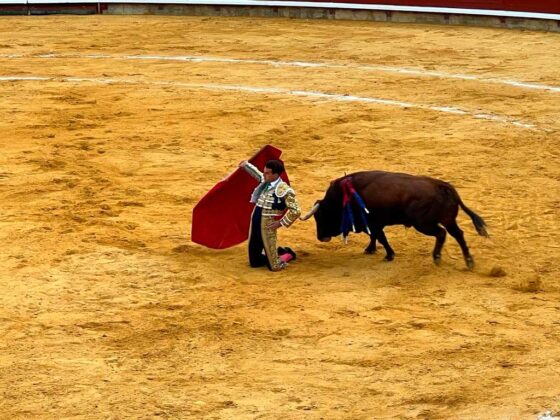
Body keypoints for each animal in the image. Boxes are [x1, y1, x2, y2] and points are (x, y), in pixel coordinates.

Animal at [300, 170, 488, 270]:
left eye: (321, 216)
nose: (321, 237)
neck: (342, 198)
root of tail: (442, 185)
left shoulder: (373, 223)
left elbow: (380, 237)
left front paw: (389, 255)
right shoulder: (373, 224)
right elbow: (375, 237)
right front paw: (370, 249)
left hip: (424, 224)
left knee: (441, 233)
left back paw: (436, 257)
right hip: (448, 219)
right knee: (458, 234)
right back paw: (469, 261)